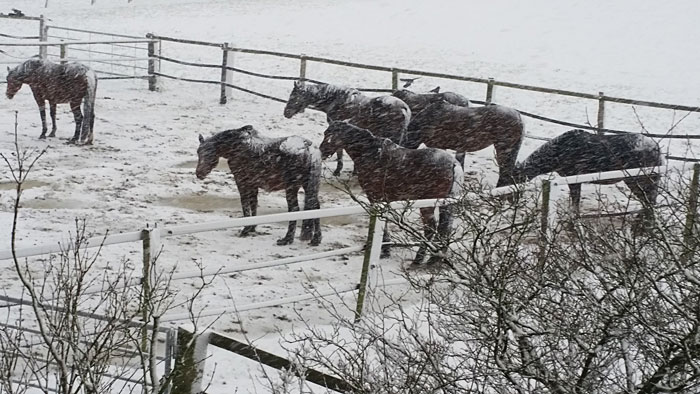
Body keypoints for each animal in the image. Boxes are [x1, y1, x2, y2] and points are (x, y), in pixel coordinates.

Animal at [282, 80, 410, 175]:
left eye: (294, 96)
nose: (286, 113)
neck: (335, 100)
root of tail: (404, 108)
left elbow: (339, 150)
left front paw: (338, 170)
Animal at [318, 121, 462, 266]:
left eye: (328, 134)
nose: (321, 152)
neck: (373, 154)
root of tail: (453, 164)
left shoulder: (375, 198)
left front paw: (385, 250)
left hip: (427, 204)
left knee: (430, 228)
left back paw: (419, 259)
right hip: (446, 204)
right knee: (446, 227)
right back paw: (435, 258)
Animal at [508, 127, 660, 223]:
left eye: (513, 180)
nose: (511, 201)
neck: (560, 150)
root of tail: (655, 147)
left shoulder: (574, 179)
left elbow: (575, 201)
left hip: (637, 181)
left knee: (649, 201)